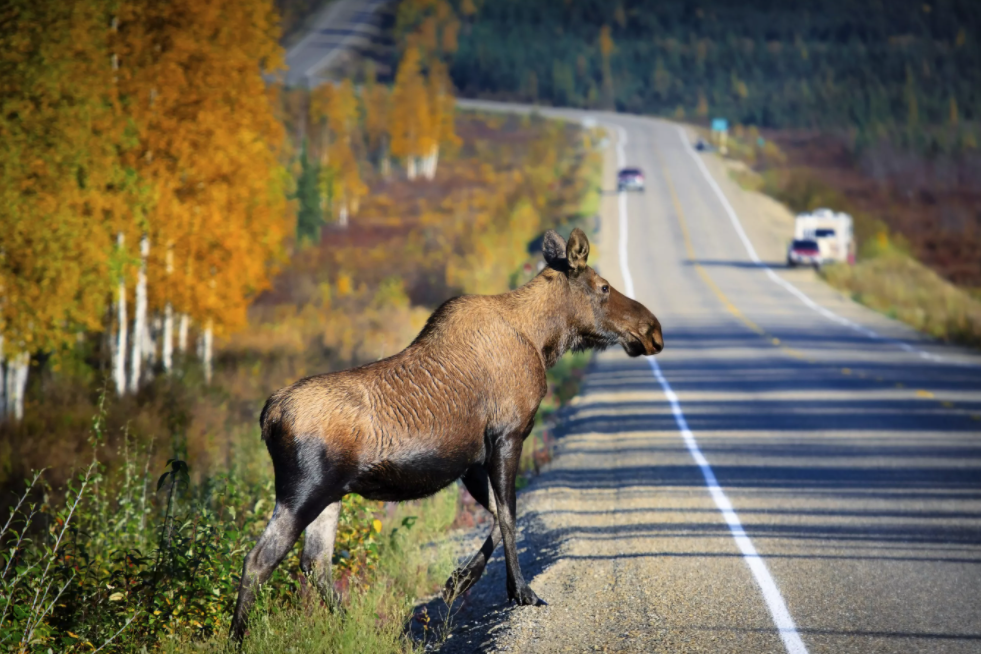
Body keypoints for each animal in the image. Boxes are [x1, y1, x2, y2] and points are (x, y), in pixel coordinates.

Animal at [230, 228, 664, 644]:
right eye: (603, 286)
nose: (653, 330)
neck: (542, 341)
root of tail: (268, 416)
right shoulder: (507, 436)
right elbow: (510, 515)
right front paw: (521, 591)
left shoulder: (472, 461)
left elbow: (498, 516)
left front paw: (459, 581)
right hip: (303, 491)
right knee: (258, 560)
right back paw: (238, 638)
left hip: (330, 495)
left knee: (315, 564)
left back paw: (349, 626)